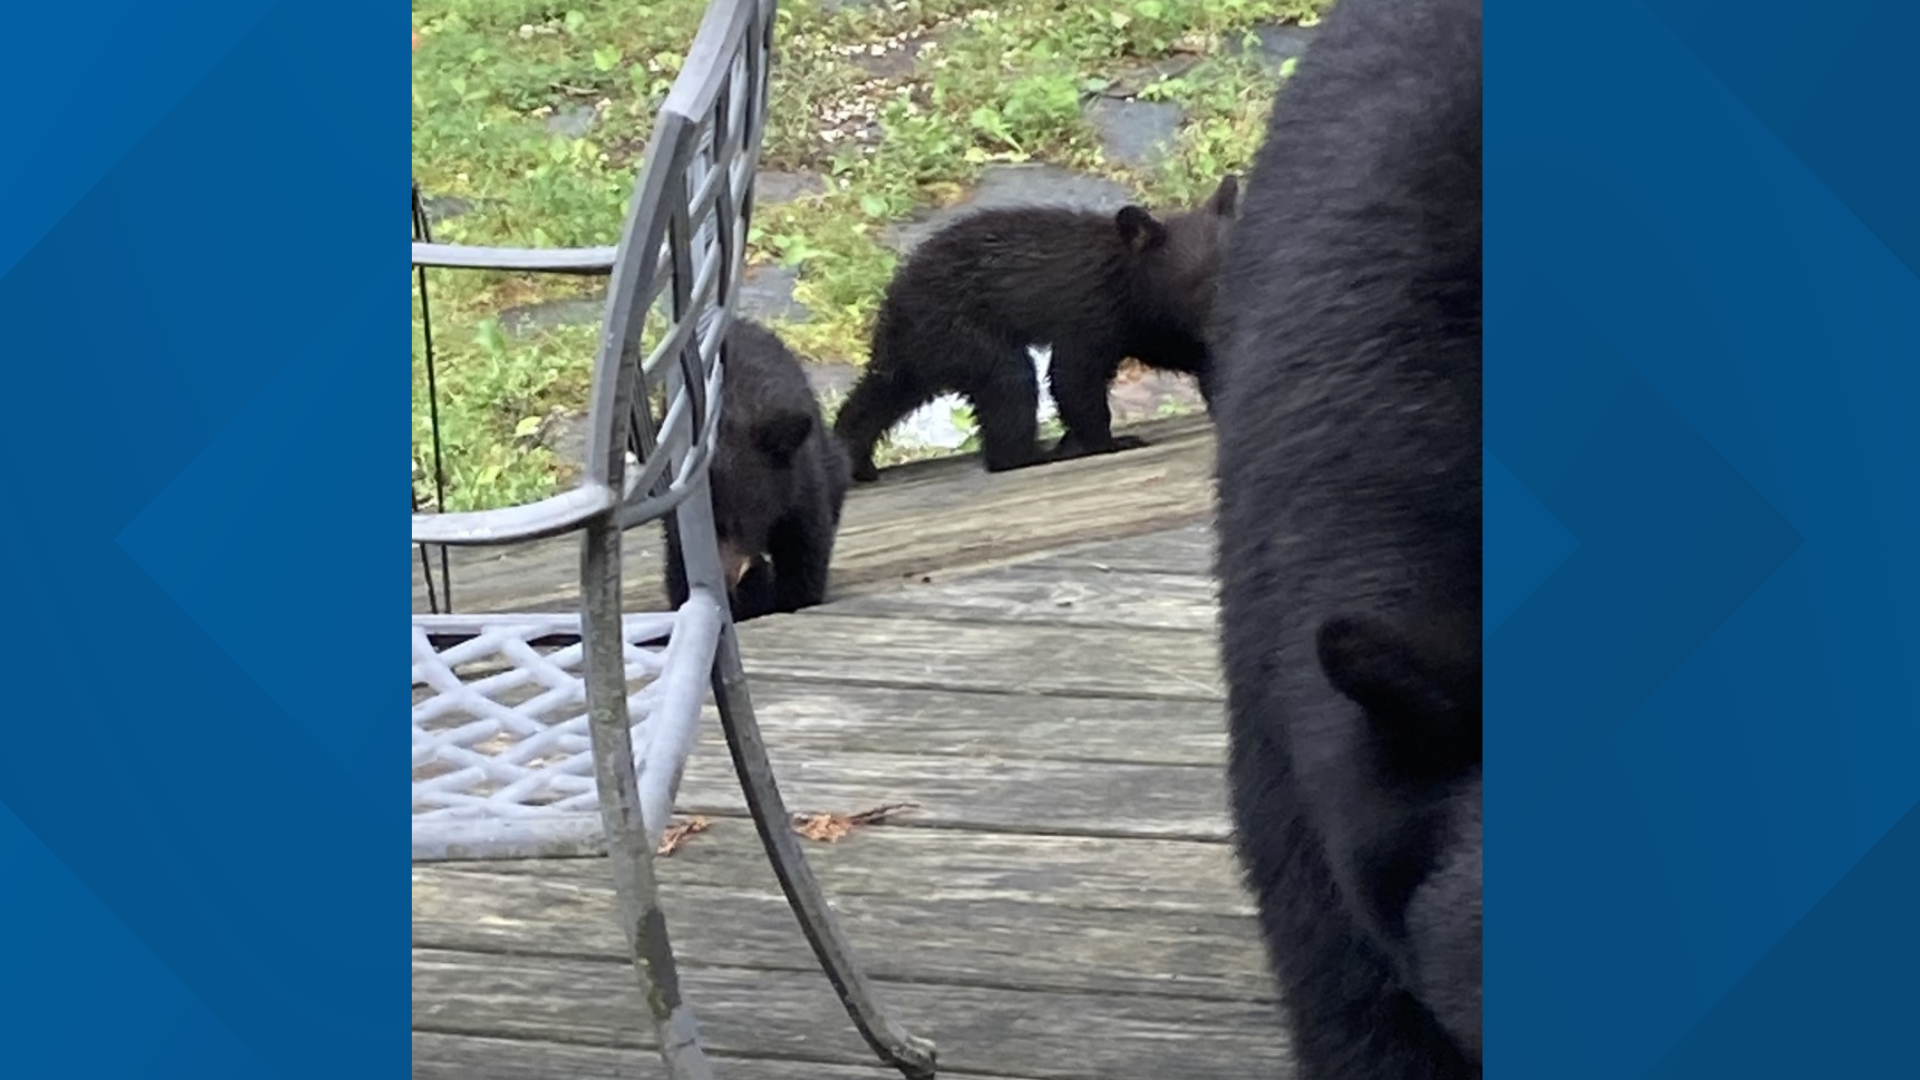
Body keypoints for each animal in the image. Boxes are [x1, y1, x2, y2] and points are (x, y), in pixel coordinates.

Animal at [662, 318, 852, 624]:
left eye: (739, 521)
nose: (725, 582)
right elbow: (679, 565)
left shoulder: (799, 483)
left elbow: (804, 544)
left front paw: (795, 597)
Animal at [830, 176, 1240, 483]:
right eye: (1204, 284)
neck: (1131, 285)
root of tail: (893, 298)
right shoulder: (1092, 313)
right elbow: (1074, 379)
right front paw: (1109, 443)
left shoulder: (1156, 329)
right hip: (961, 330)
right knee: (1009, 386)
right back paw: (1035, 455)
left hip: (921, 350)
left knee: (882, 391)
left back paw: (856, 458)